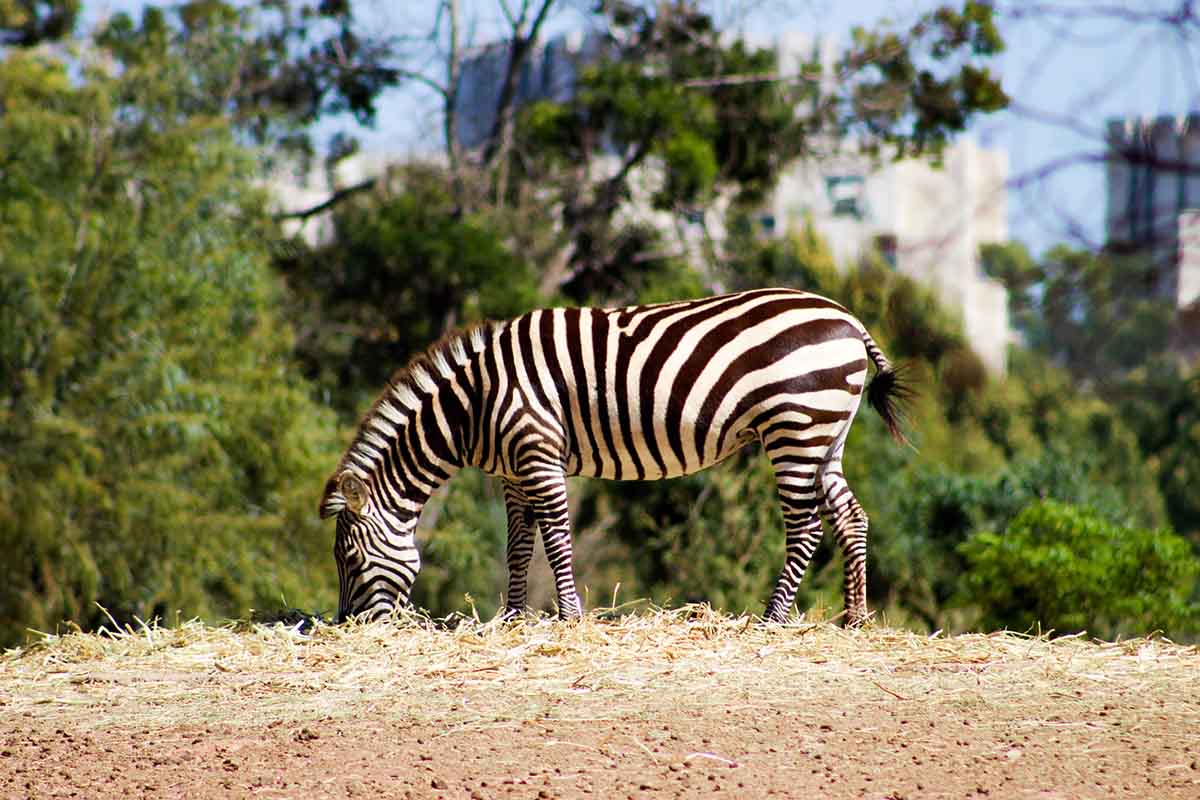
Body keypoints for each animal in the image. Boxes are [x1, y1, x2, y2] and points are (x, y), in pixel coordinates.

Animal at [320, 287, 908, 626]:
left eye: (349, 559)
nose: (347, 625)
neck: (474, 403)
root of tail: (848, 318)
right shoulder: (513, 472)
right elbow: (518, 546)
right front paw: (513, 618)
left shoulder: (537, 451)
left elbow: (557, 539)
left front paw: (570, 618)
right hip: (825, 434)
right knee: (852, 518)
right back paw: (854, 618)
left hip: (796, 426)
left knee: (806, 528)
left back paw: (771, 619)